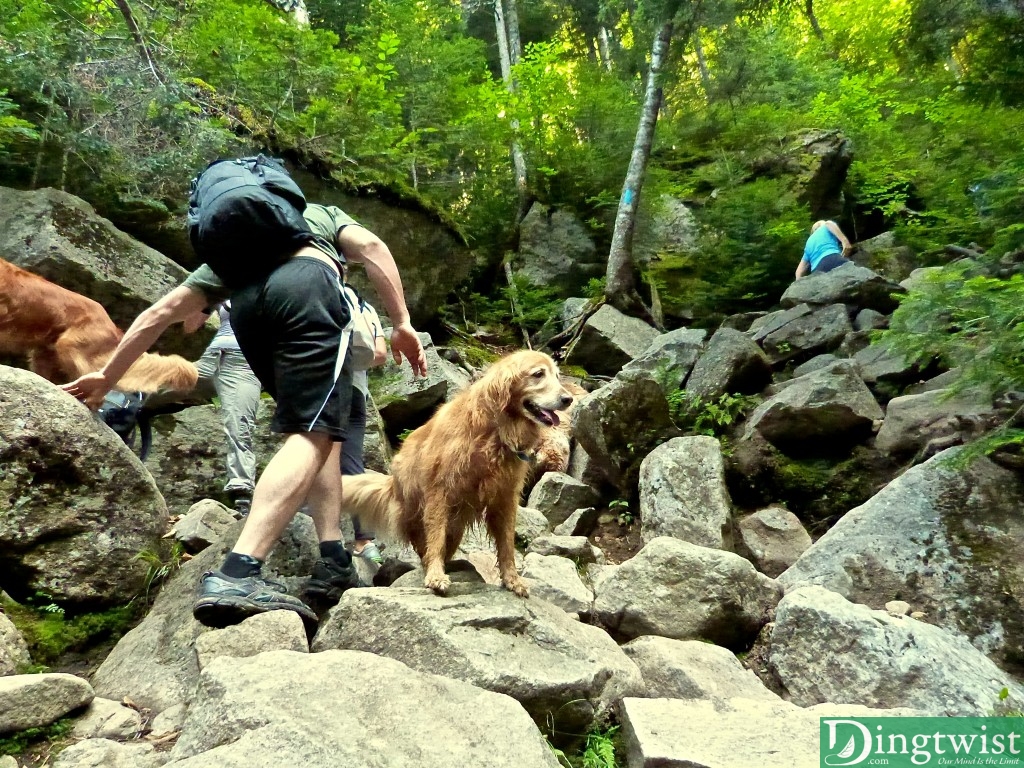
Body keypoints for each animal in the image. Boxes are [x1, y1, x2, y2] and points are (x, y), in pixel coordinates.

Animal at [339, 352, 573, 598]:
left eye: (557, 376)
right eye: (538, 374)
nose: (568, 399)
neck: (495, 430)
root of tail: (393, 482)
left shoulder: (505, 497)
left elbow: (507, 543)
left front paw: (512, 579)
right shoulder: (439, 491)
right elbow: (436, 537)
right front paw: (435, 576)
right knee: (424, 543)